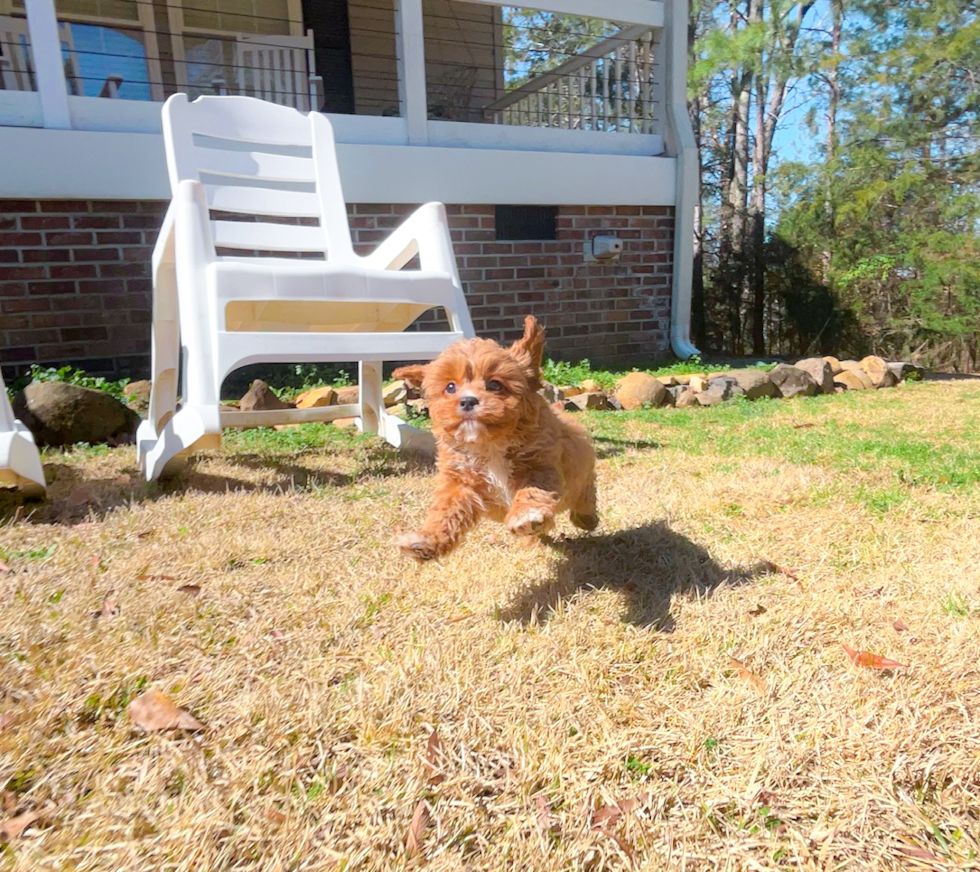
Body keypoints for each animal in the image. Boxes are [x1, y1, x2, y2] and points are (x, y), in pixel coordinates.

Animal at [392, 316, 596, 564]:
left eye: (494, 385)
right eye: (450, 387)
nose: (468, 401)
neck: (488, 445)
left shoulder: (540, 464)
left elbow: (531, 490)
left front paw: (526, 515)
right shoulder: (460, 483)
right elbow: (446, 510)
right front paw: (426, 540)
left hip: (583, 470)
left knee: (586, 491)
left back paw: (586, 518)